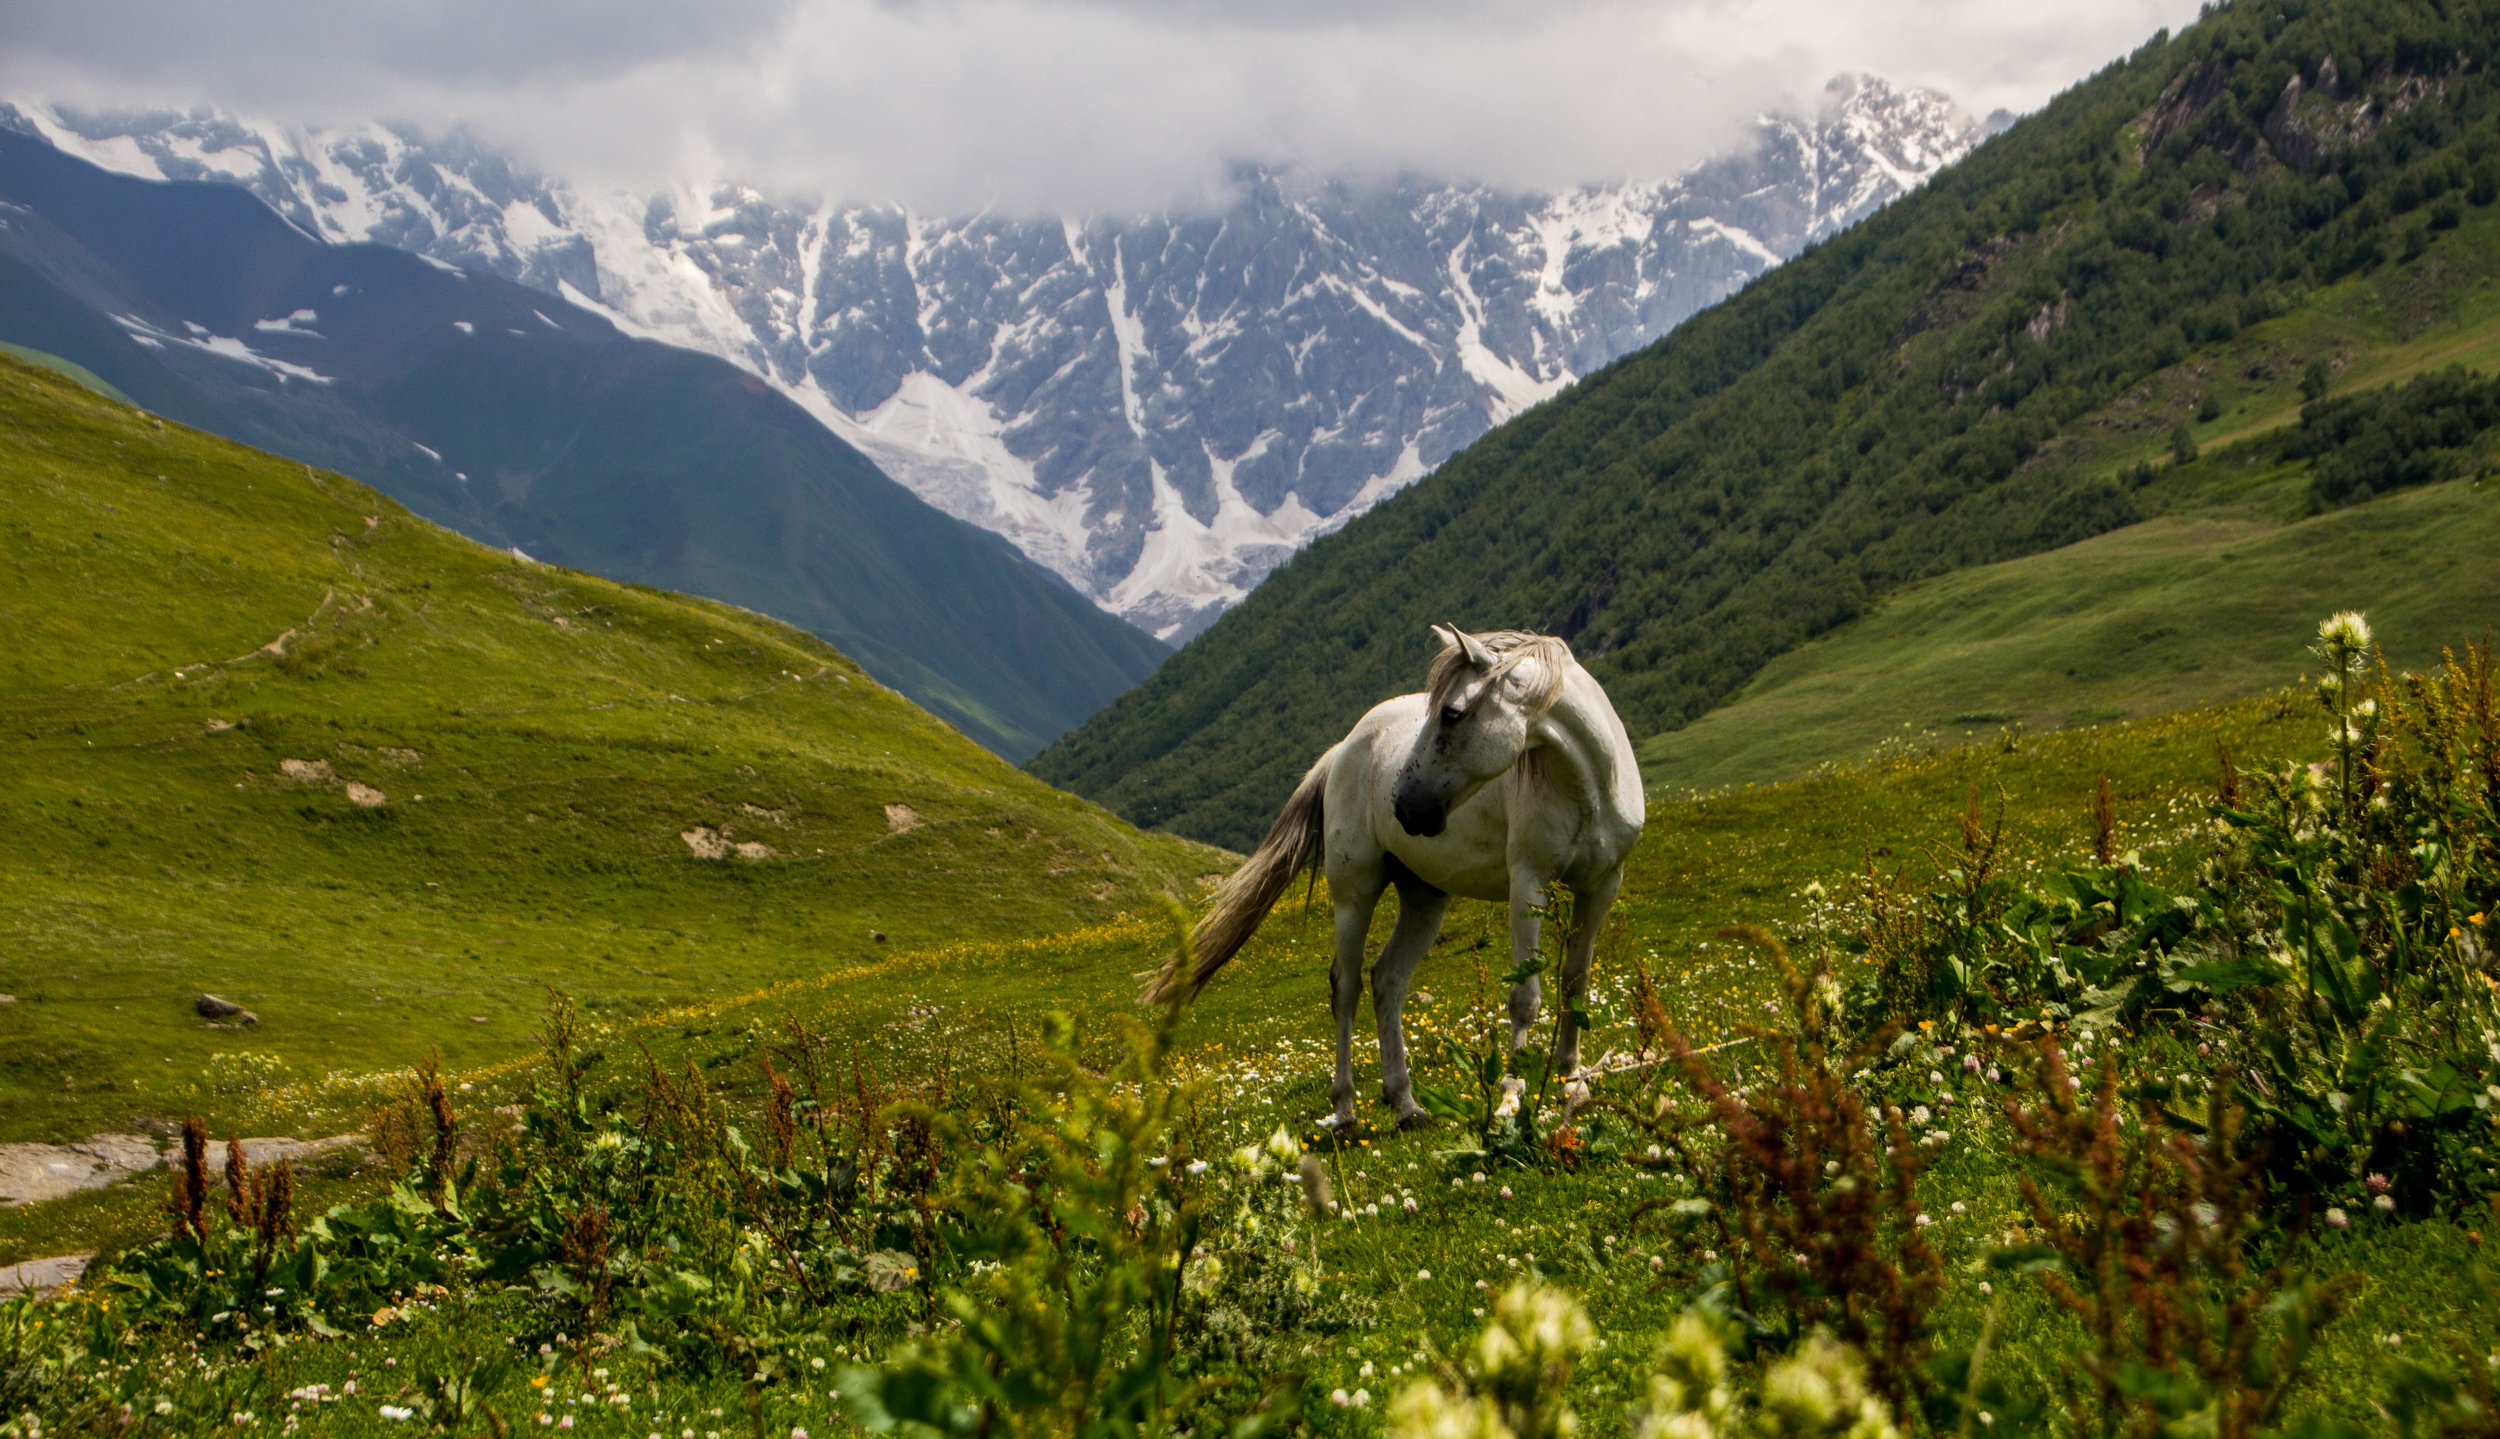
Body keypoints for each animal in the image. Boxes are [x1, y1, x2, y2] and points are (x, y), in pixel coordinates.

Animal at [1145, 624, 1640, 1129]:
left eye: (1451, 713)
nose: (1404, 806)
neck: (1588, 788)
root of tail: (1344, 749)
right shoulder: (1529, 884)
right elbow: (1525, 997)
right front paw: (1510, 1100)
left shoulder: (1602, 886)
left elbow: (1575, 983)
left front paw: (1571, 1084)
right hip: (1354, 893)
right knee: (1346, 986)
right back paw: (1345, 1109)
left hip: (1424, 897)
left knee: (1388, 980)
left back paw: (1405, 1103)